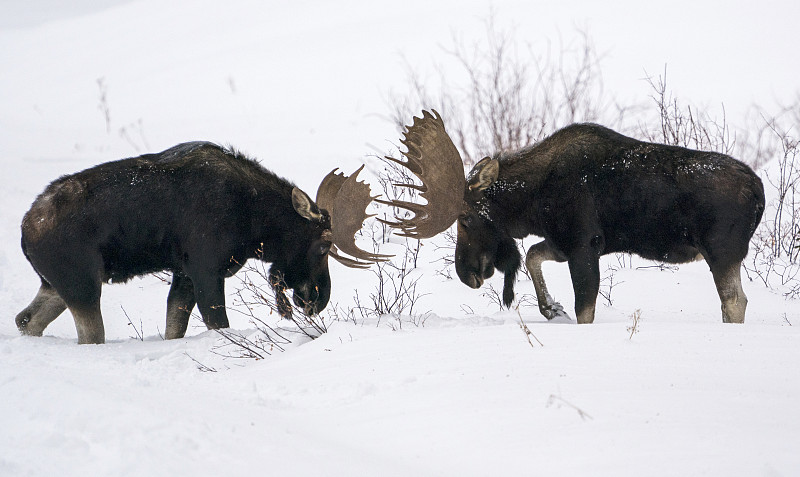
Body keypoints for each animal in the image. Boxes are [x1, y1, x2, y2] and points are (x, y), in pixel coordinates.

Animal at [14, 140, 386, 342]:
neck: (254, 222)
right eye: (322, 247)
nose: (319, 299)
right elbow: (217, 322)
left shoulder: (184, 273)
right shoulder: (206, 268)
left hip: (56, 284)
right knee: (87, 336)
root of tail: (24, 231)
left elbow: (174, 326)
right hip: (82, 283)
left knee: (26, 320)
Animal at [384, 109, 764, 324]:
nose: (466, 273)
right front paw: (551, 308)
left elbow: (585, 308)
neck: (532, 201)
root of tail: (759, 192)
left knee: (735, 301)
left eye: (466, 220)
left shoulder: (583, 244)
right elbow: (533, 256)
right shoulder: (563, 242)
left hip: (721, 251)